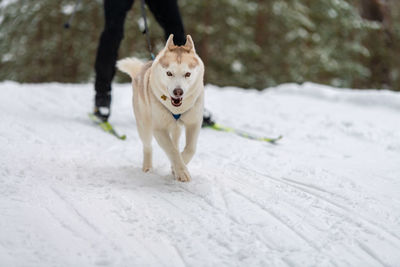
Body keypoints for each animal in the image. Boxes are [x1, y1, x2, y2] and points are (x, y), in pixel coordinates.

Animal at [115, 35, 203, 182]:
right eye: (169, 73)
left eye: (187, 74)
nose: (178, 92)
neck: (177, 110)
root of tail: (141, 68)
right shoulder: (159, 129)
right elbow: (171, 150)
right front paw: (181, 171)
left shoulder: (194, 123)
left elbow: (190, 148)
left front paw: (177, 167)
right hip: (144, 126)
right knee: (148, 146)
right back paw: (147, 167)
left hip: (176, 128)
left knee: (175, 142)